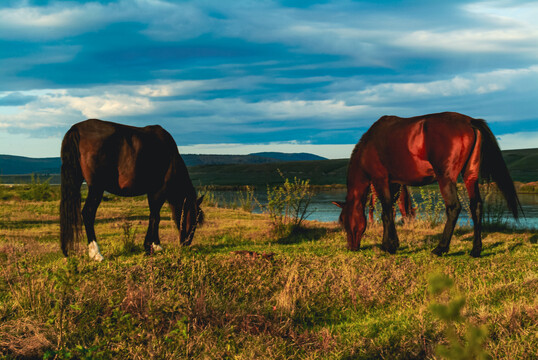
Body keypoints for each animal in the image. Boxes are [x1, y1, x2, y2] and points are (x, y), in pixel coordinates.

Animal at [59, 119, 203, 260]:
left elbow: (155, 216)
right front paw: (150, 246)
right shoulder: (159, 191)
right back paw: (96, 253)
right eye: (194, 220)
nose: (186, 243)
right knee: (88, 213)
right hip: (96, 188)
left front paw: (155, 245)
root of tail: (76, 129)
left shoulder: (152, 192)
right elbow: (155, 216)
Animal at [330, 112, 520, 256]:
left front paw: (387, 246)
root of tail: (469, 121)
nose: (351, 247)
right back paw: (476, 250)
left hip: (445, 178)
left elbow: (386, 213)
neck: (369, 146)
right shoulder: (394, 184)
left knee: (454, 207)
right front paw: (394, 243)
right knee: (476, 206)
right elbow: (392, 211)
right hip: (470, 176)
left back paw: (440, 249)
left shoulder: (380, 180)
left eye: (345, 221)